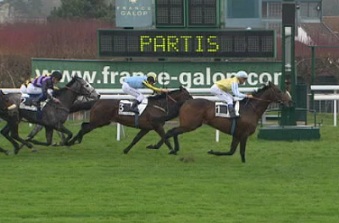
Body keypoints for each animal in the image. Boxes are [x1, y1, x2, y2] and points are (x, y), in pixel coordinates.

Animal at [163, 81, 294, 163]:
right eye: (278, 91)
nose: (290, 101)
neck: (251, 109)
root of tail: (185, 102)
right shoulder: (244, 134)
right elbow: (241, 151)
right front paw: (243, 163)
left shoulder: (237, 134)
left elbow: (231, 151)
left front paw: (213, 152)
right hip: (190, 125)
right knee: (171, 131)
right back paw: (166, 148)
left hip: (188, 125)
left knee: (173, 132)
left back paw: (173, 149)